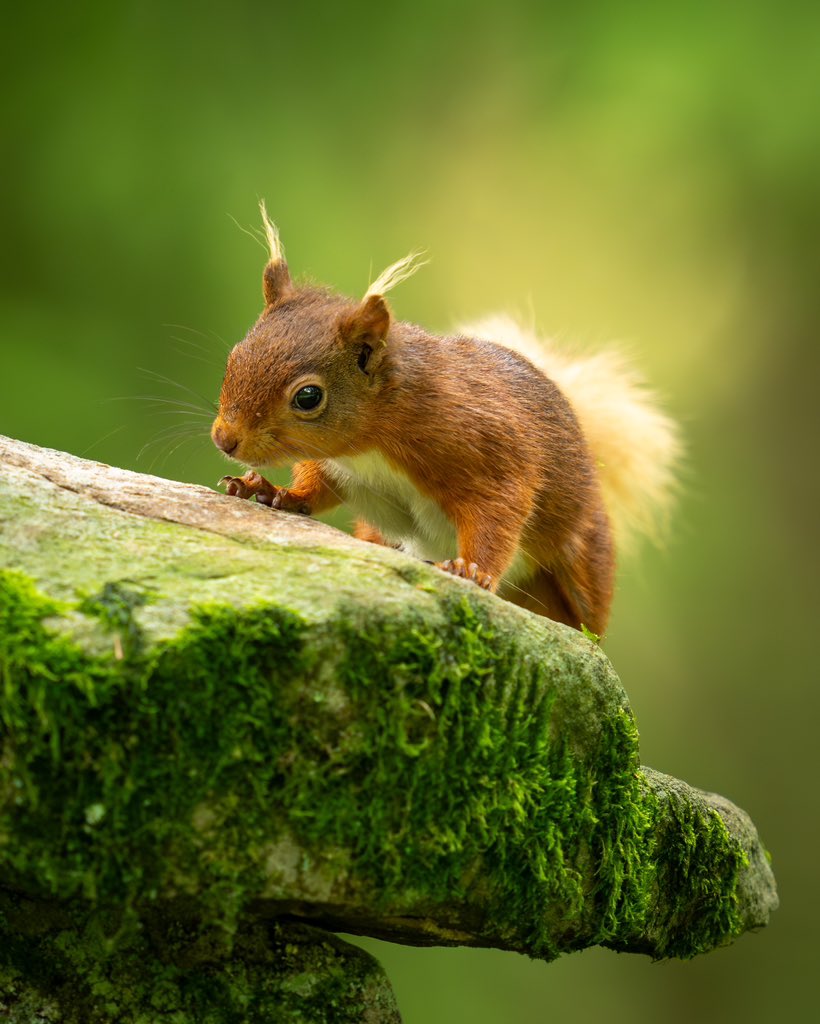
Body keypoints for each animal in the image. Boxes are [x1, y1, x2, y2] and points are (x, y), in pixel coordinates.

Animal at [212, 201, 679, 630]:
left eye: (308, 397)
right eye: (234, 357)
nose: (224, 439)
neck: (371, 447)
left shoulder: (489, 455)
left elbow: (498, 516)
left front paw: (473, 572)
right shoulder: (340, 467)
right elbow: (315, 488)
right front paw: (271, 491)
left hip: (582, 563)